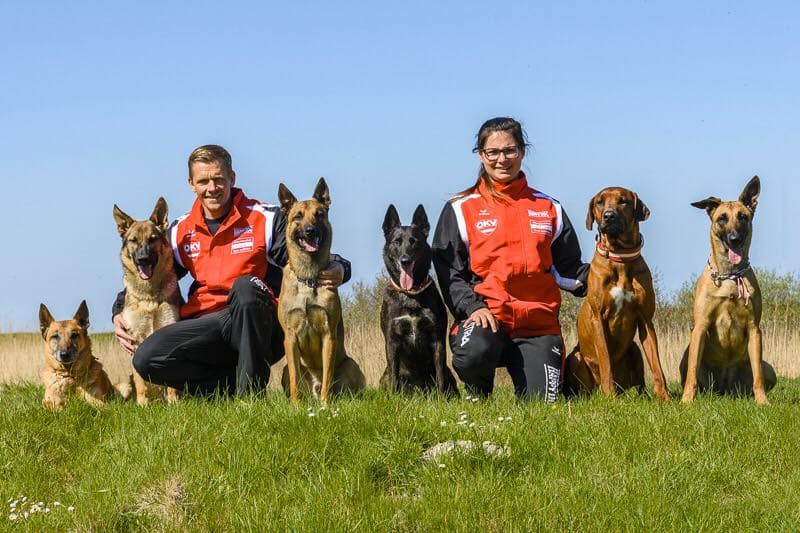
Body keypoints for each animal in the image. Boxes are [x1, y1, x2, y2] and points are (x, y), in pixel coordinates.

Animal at [113, 197, 181, 406]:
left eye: (152, 239)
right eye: (134, 241)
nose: (143, 259)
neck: (149, 296)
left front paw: (174, 402)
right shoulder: (135, 339)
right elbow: (140, 380)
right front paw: (143, 404)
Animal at [277, 177, 365, 404]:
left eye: (319, 214)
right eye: (298, 216)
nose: (311, 231)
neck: (309, 278)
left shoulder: (328, 335)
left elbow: (327, 375)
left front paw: (326, 404)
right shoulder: (289, 338)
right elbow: (295, 378)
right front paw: (296, 405)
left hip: (351, 365)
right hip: (284, 370)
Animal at [379, 204, 458, 395]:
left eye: (414, 241)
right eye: (397, 241)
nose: (405, 260)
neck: (411, 295)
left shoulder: (437, 340)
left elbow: (440, 378)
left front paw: (441, 399)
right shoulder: (391, 341)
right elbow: (394, 377)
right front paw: (394, 399)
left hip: (450, 374)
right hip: (383, 377)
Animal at [565, 186, 669, 401]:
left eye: (623, 201)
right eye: (599, 201)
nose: (609, 216)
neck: (620, 256)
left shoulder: (646, 320)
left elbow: (657, 366)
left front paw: (664, 397)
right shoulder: (598, 318)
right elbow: (605, 361)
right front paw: (610, 397)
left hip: (635, 349)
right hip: (575, 358)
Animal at [680, 175, 776, 404]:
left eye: (743, 217)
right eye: (722, 218)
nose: (735, 239)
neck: (730, 277)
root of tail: (725, 390)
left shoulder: (754, 329)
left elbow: (758, 376)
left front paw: (763, 402)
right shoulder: (700, 327)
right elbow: (692, 372)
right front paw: (686, 400)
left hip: (769, 368)